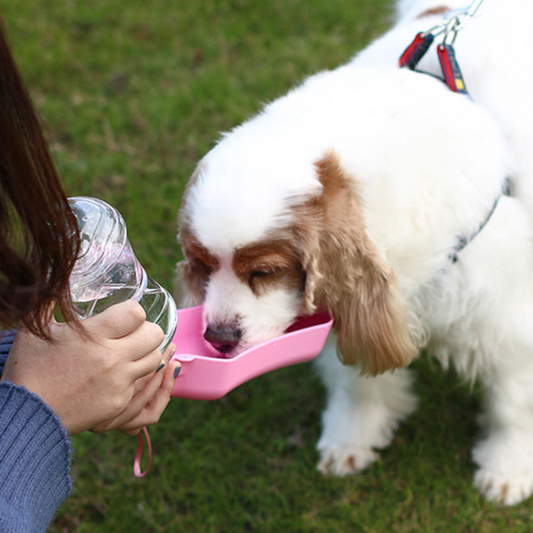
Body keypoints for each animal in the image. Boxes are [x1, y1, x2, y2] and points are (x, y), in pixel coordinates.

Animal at [177, 0, 532, 502]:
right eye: (204, 266)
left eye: (264, 271)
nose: (219, 338)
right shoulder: (341, 306)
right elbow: (355, 384)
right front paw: (351, 440)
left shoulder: (508, 316)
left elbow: (512, 404)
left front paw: (508, 470)